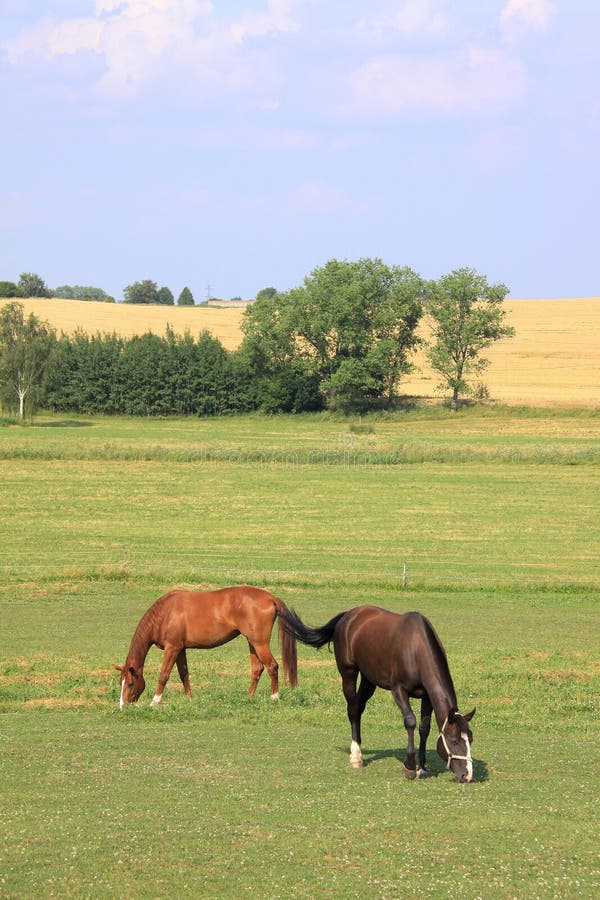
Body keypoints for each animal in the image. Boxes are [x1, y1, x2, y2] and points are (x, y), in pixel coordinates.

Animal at [115, 588, 298, 708]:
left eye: (130, 683)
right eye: (120, 682)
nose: (123, 706)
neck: (165, 613)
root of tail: (270, 597)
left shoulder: (172, 648)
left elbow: (164, 675)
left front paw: (155, 701)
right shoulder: (180, 649)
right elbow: (184, 674)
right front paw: (189, 699)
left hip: (259, 643)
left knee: (272, 666)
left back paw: (274, 697)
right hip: (252, 643)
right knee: (257, 669)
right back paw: (248, 697)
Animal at [278, 604, 476, 780]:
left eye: (470, 739)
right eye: (454, 740)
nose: (466, 775)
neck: (415, 649)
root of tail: (348, 615)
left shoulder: (427, 696)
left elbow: (424, 728)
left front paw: (422, 768)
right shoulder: (399, 690)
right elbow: (410, 722)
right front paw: (409, 767)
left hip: (369, 679)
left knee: (358, 707)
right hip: (348, 673)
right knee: (352, 708)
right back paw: (356, 756)